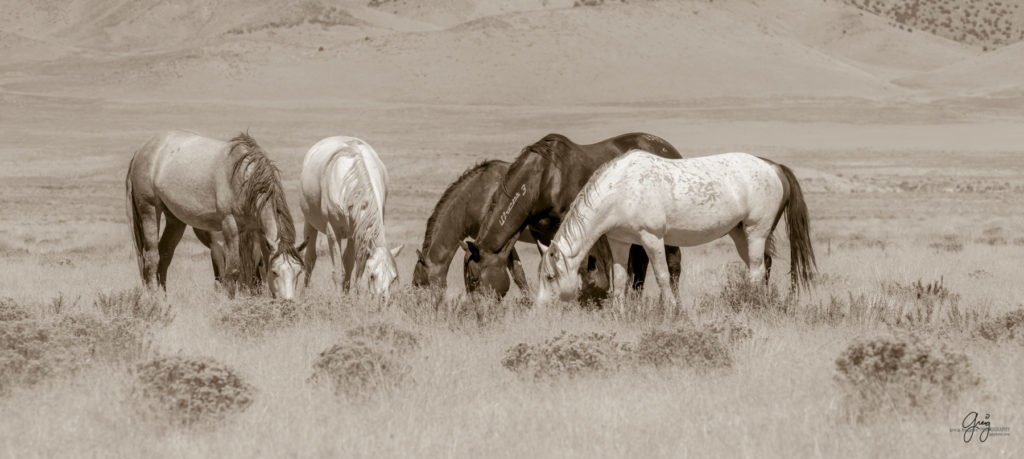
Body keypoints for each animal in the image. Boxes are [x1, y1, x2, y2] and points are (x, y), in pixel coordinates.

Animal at [124, 131, 303, 299]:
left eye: (299, 272)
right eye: (275, 272)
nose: (288, 303)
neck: (244, 180)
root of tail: (140, 151)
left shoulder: (258, 232)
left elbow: (260, 267)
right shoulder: (229, 226)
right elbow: (233, 271)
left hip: (175, 220)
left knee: (165, 255)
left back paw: (164, 298)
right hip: (150, 211)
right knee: (152, 257)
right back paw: (155, 300)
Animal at [299, 135, 401, 297]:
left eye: (394, 278)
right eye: (372, 275)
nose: (382, 301)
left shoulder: (355, 233)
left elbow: (350, 266)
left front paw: (348, 297)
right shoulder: (332, 233)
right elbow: (337, 272)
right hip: (309, 223)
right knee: (309, 259)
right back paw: (303, 294)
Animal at [462, 133, 684, 301]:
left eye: (474, 279)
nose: (481, 314)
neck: (543, 179)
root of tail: (669, 149)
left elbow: (583, 268)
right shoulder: (540, 231)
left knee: (673, 264)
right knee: (639, 264)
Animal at [536, 152, 815, 309]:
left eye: (549, 277)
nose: (540, 310)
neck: (621, 189)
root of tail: (774, 167)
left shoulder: (652, 238)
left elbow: (662, 276)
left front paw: (671, 310)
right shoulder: (619, 242)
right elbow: (621, 279)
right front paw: (618, 313)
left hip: (756, 232)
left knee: (757, 269)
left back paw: (753, 303)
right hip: (740, 234)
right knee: (764, 264)